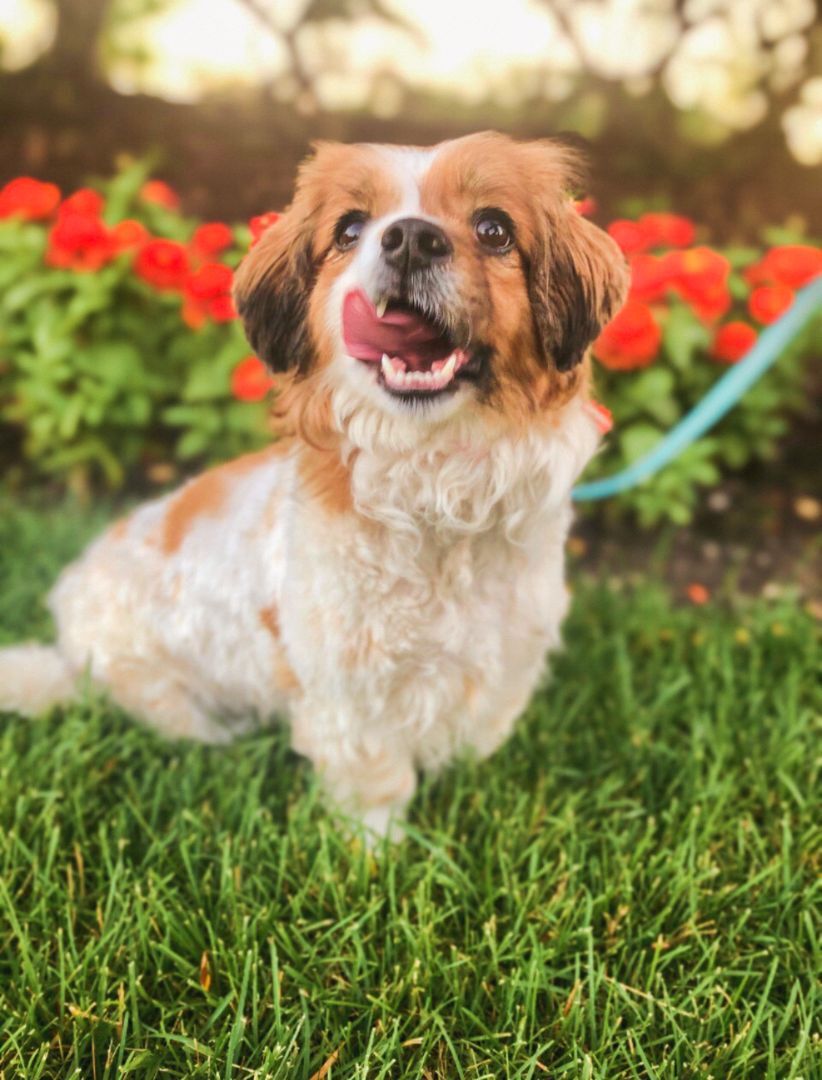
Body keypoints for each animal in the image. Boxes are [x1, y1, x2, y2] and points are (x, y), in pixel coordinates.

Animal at [0, 128, 626, 833]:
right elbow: (375, 778)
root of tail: (68, 640)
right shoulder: (350, 690)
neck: (437, 483)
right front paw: (379, 845)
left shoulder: (506, 657)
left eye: (494, 228)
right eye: (350, 229)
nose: (410, 237)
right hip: (152, 685)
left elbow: (481, 732)